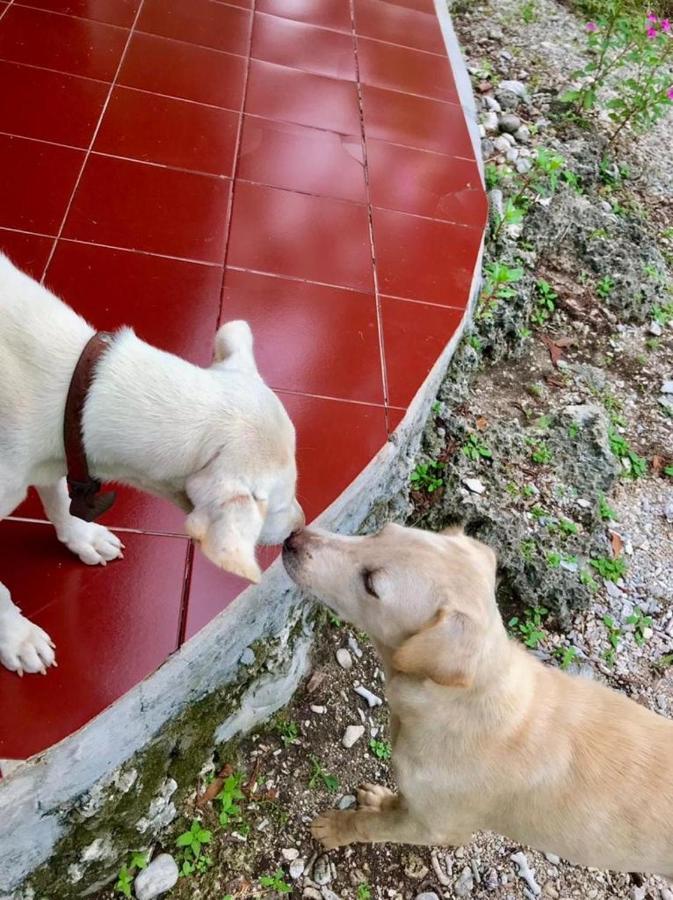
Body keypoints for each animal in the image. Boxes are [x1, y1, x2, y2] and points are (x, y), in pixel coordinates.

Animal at [0, 253, 304, 676]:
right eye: (276, 507)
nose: (299, 527)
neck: (82, 394)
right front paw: (17, 637)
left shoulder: (58, 453)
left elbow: (60, 501)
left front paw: (82, 537)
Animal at [280, 524, 672, 876]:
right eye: (379, 532)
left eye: (371, 584)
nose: (292, 538)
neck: (458, 701)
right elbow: (397, 802)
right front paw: (380, 801)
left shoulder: (436, 827)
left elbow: (371, 826)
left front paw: (337, 828)